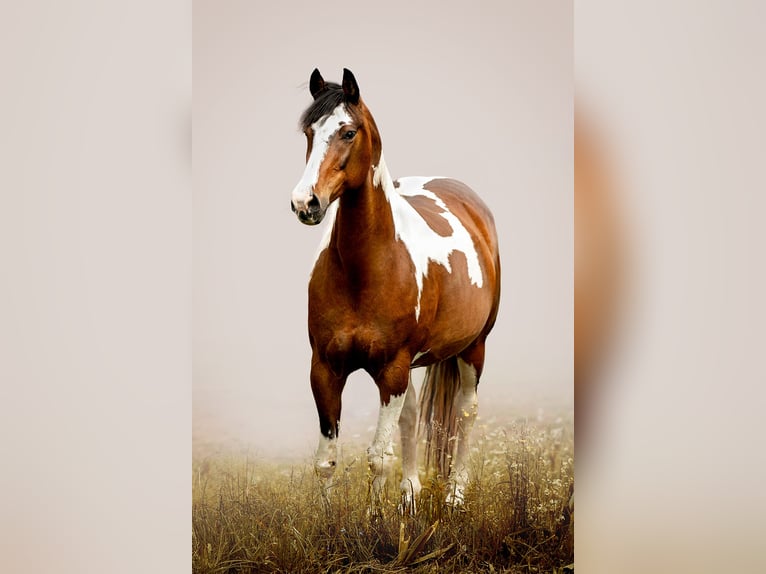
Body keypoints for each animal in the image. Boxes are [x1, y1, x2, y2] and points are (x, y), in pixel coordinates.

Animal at [290, 68, 501, 512]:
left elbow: (378, 458)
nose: (305, 203)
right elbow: (326, 459)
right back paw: (410, 494)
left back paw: (455, 494)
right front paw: (327, 520)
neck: (366, 270)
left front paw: (374, 520)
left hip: (473, 348)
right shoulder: (324, 369)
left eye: (348, 132)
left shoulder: (392, 369)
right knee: (412, 413)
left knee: (465, 413)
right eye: (308, 132)